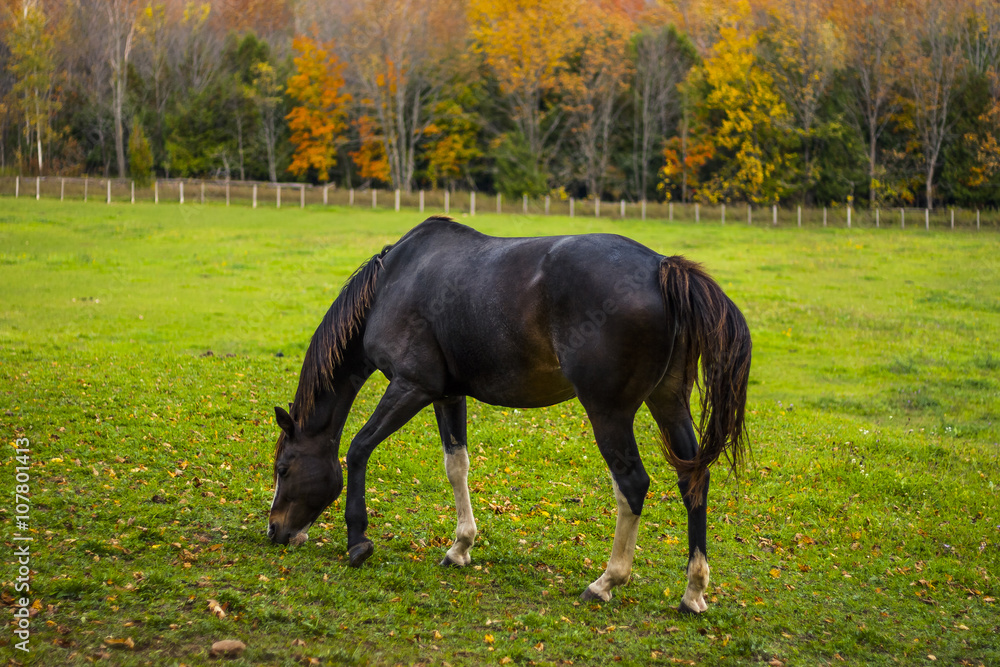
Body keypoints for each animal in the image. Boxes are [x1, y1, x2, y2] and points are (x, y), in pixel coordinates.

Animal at [267, 216, 751, 613]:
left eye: (283, 468)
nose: (275, 531)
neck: (394, 280)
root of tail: (661, 267)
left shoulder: (411, 387)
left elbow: (357, 449)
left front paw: (358, 541)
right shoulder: (447, 396)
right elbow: (456, 466)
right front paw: (461, 547)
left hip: (609, 414)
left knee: (632, 486)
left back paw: (606, 583)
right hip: (669, 403)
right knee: (692, 481)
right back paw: (693, 592)